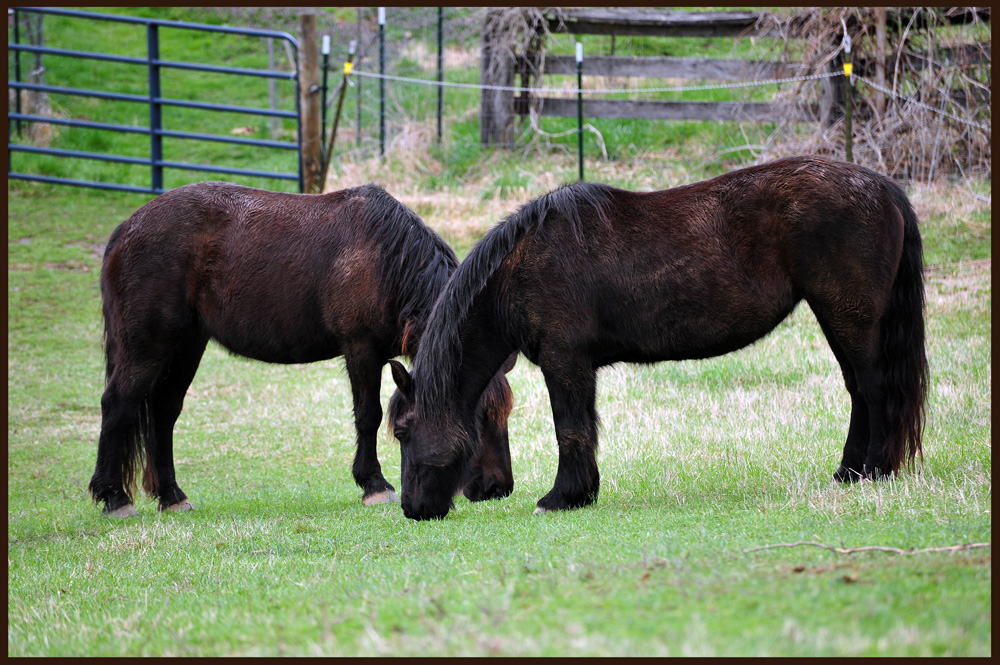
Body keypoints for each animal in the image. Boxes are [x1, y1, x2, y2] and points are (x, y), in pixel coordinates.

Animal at [88, 183, 516, 520]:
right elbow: (368, 416)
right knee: (118, 405)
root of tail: (126, 229)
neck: (385, 258)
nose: (498, 488)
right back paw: (115, 497)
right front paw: (374, 485)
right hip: (148, 346)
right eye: (477, 416)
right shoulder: (361, 349)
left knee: (163, 413)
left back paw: (172, 496)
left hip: (187, 346)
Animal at [388, 156, 928, 520]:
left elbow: (570, 429)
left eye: (402, 431)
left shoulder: (566, 362)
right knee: (858, 391)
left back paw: (876, 470)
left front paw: (563, 498)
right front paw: (583, 493)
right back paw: (848, 472)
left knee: (874, 389)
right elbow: (582, 428)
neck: (521, 267)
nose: (412, 508)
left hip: (849, 316)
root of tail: (884, 188)